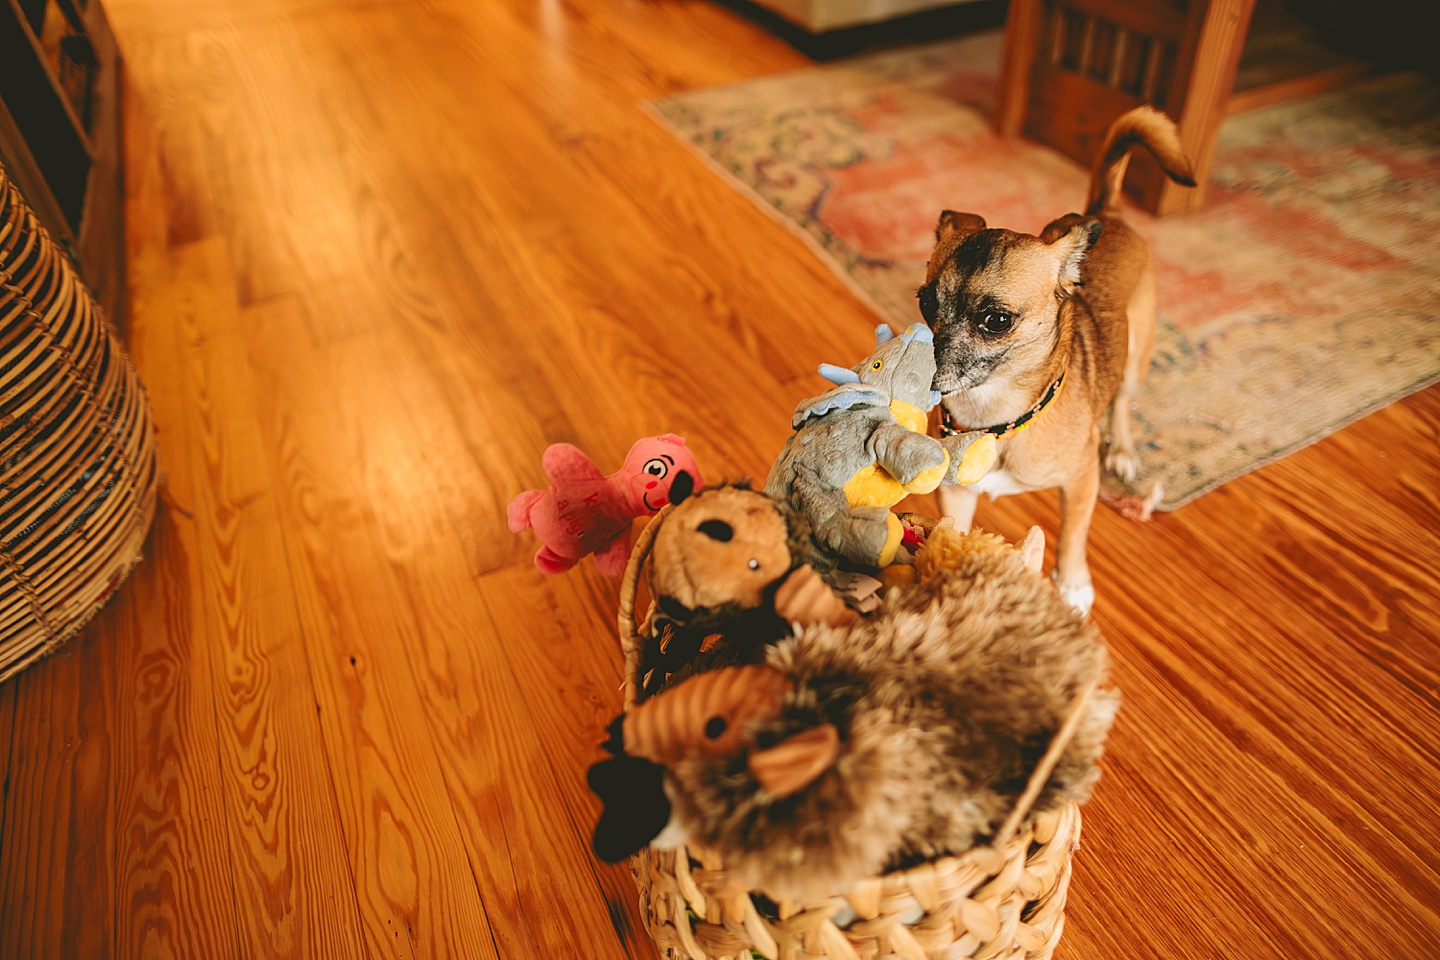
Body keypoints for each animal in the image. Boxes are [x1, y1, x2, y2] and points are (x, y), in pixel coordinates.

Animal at [921, 105, 1192, 616]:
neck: (998, 420)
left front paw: (1071, 584)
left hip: (1135, 359)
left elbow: (1072, 535)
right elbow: (955, 537)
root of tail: (1106, 214)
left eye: (996, 320)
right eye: (925, 303)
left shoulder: (1081, 481)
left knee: (1121, 402)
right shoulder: (956, 495)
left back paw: (1123, 450)